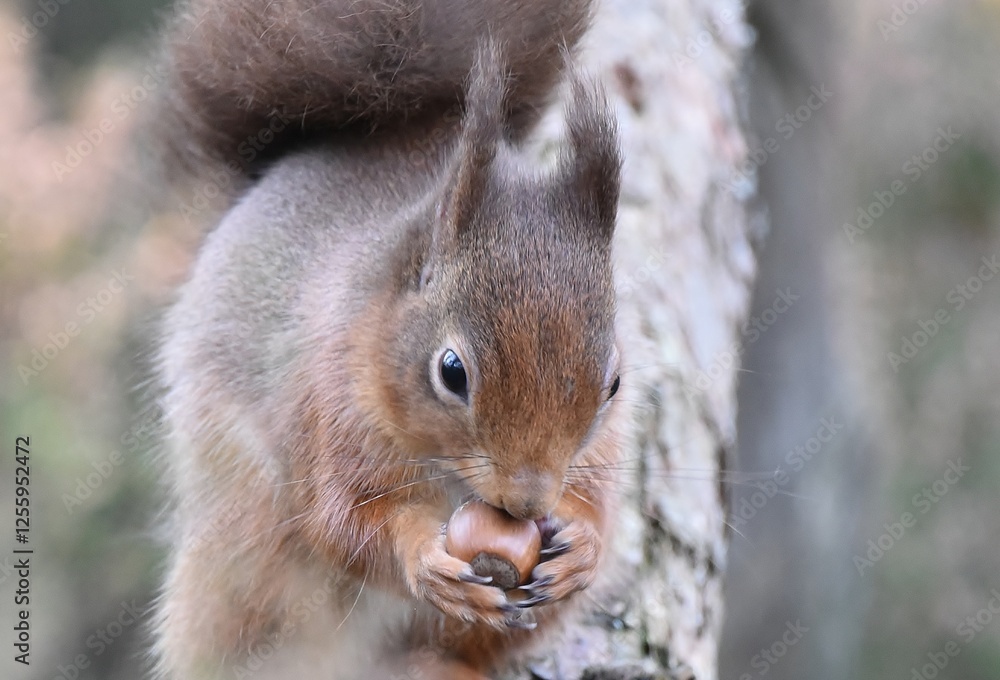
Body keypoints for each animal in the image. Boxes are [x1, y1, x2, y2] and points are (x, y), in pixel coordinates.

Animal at [153, 0, 626, 678]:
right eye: (452, 371)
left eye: (613, 383)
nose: (528, 504)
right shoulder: (329, 407)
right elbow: (340, 524)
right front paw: (421, 559)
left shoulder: (601, 452)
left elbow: (599, 508)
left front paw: (582, 546)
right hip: (248, 556)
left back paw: (441, 664)